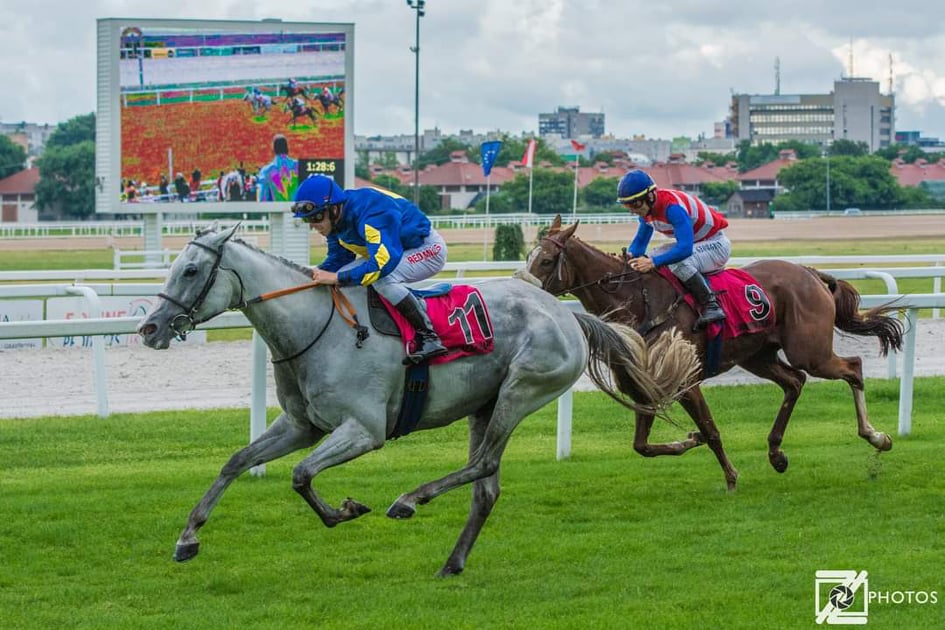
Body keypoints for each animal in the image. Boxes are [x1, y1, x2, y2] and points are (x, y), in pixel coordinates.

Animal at [136, 226, 692, 576]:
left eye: (190, 271)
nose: (149, 328)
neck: (318, 329)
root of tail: (568, 313)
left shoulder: (363, 431)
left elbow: (300, 474)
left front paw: (346, 509)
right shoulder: (301, 426)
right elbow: (236, 462)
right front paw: (188, 539)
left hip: (521, 391)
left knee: (483, 464)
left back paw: (409, 500)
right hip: (485, 403)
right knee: (486, 489)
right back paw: (452, 562)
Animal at [520, 218, 904, 494]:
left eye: (548, 260)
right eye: (528, 257)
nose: (522, 289)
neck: (636, 301)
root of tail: (811, 273)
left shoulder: (686, 380)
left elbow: (712, 429)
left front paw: (731, 477)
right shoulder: (645, 384)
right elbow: (642, 445)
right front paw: (689, 439)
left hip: (809, 351)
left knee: (852, 368)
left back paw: (877, 436)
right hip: (758, 355)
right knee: (794, 382)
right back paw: (776, 453)